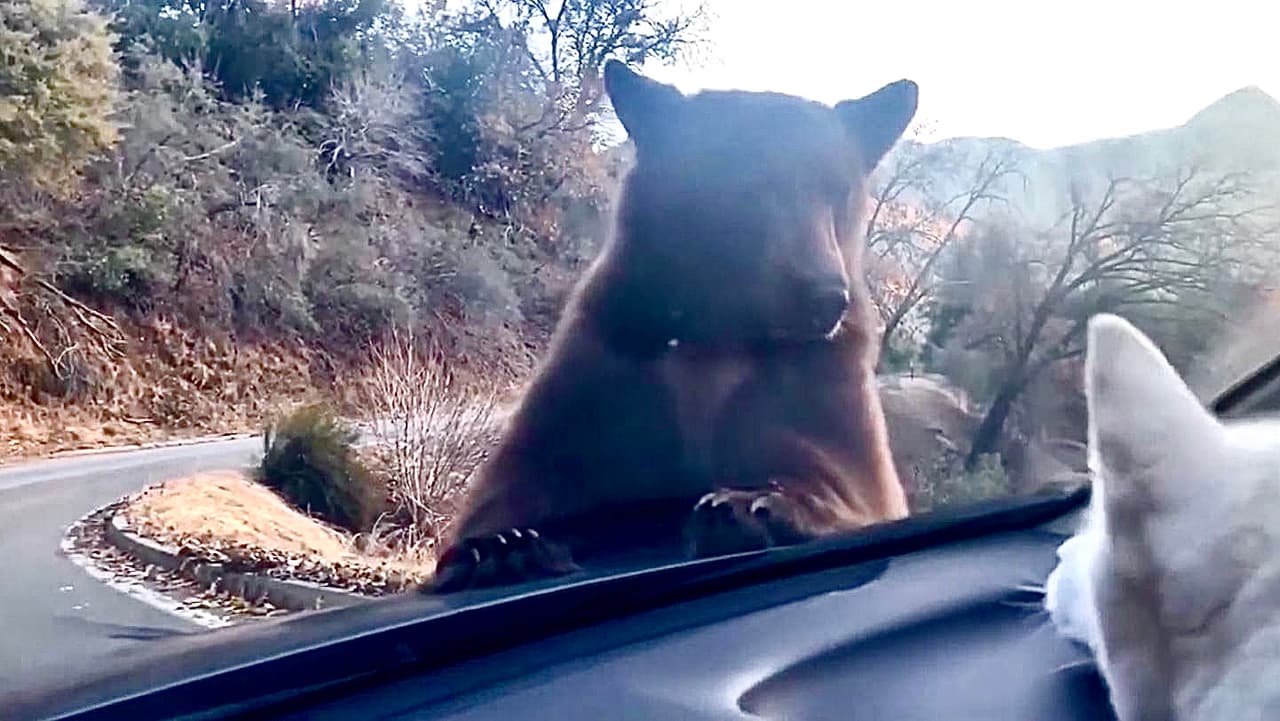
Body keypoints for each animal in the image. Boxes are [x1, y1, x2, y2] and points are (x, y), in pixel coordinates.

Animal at [428, 60, 917, 593]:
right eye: (746, 182)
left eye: (837, 190)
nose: (825, 298)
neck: (720, 337)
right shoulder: (607, 361)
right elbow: (516, 486)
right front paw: (504, 545)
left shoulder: (817, 383)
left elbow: (846, 484)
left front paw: (752, 506)